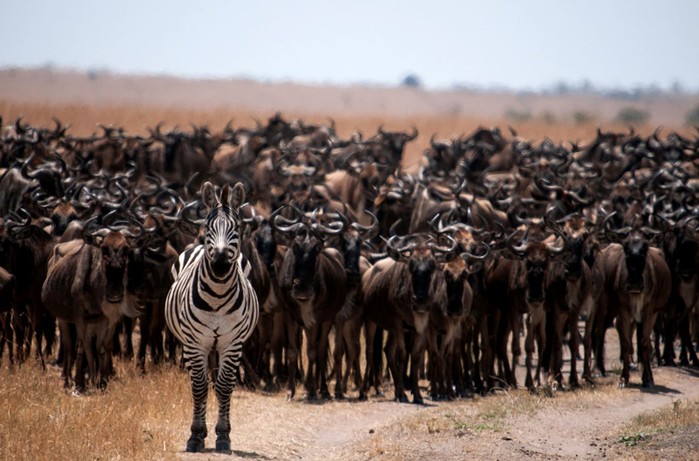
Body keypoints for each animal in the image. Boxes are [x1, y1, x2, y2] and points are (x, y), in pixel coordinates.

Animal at [165, 181, 260, 452]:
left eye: (236, 227)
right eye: (209, 227)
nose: (219, 264)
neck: (217, 295)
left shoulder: (232, 343)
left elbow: (225, 386)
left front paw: (223, 436)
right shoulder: (195, 343)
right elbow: (199, 387)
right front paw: (196, 436)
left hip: (218, 345)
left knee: (216, 382)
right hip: (196, 343)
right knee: (202, 381)